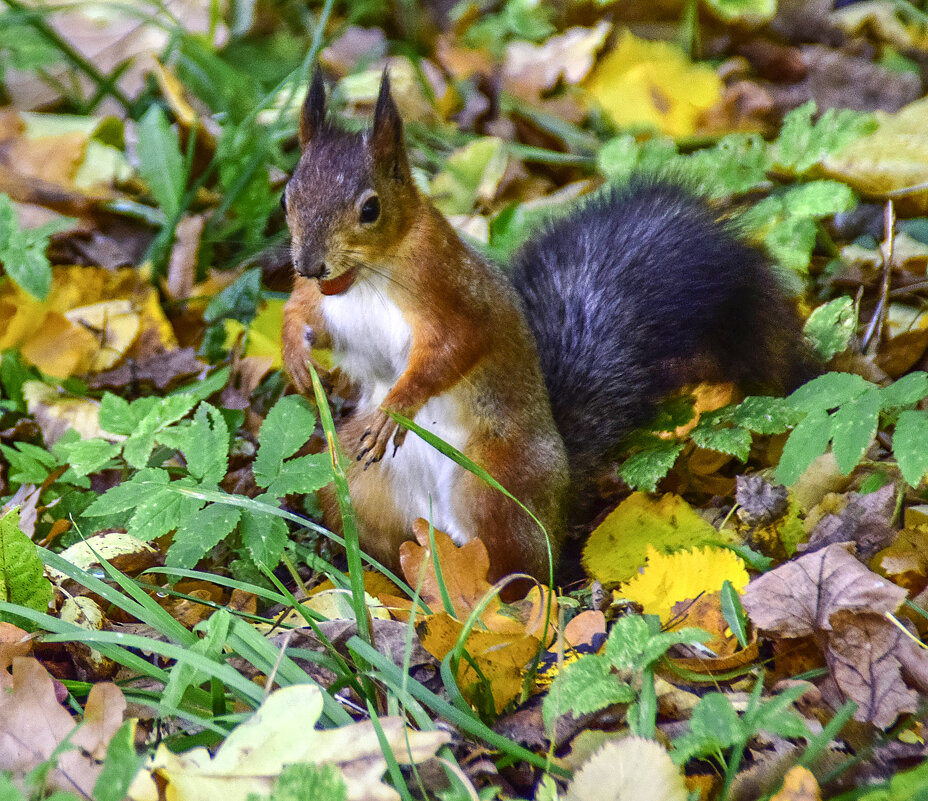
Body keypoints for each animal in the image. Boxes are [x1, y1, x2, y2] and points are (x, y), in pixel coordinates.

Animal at [280, 72, 812, 588]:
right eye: (288, 197)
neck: (365, 277)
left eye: (370, 209)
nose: (309, 264)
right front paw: (295, 358)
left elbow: (455, 348)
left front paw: (397, 407)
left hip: (494, 479)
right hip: (356, 483)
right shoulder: (320, 302)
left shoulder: (447, 291)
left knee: (525, 565)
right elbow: (302, 317)